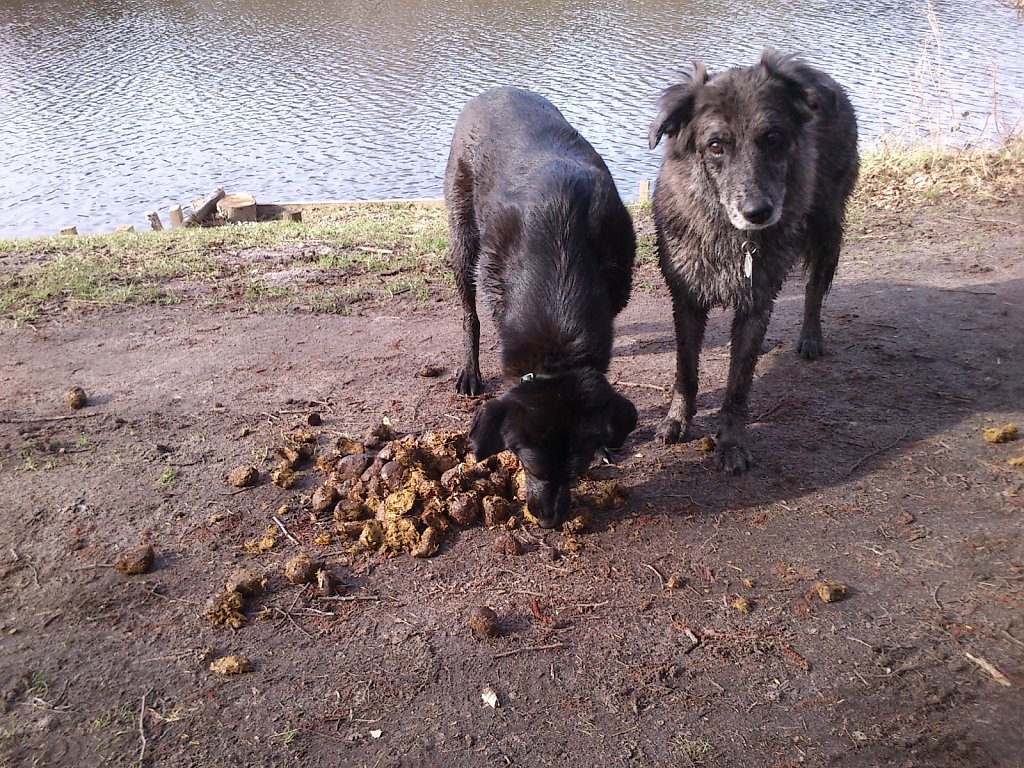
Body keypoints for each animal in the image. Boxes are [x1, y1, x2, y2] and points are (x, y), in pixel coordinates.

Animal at [444, 85, 634, 528]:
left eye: (576, 472)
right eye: (528, 466)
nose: (548, 521)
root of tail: (493, 90)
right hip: (464, 240)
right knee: (468, 314)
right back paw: (469, 371)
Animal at [651, 49, 860, 475]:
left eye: (773, 138)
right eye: (715, 145)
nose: (758, 212)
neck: (730, 235)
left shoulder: (757, 302)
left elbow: (738, 385)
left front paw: (731, 443)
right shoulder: (686, 299)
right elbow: (686, 369)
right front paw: (676, 421)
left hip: (826, 225)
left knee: (815, 287)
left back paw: (811, 337)